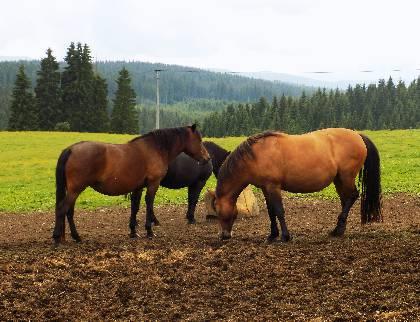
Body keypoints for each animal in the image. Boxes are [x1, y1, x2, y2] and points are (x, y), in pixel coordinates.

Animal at [53, 124, 210, 243]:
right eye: (199, 140)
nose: (207, 158)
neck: (155, 148)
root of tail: (71, 149)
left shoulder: (138, 187)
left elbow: (135, 207)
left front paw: (133, 231)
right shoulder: (153, 184)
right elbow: (149, 204)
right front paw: (149, 231)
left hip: (73, 190)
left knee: (69, 211)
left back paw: (75, 237)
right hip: (75, 190)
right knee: (62, 209)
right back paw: (57, 237)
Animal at [212, 128, 382, 242]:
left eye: (219, 213)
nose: (224, 236)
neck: (255, 156)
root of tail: (358, 135)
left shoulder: (273, 187)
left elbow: (279, 211)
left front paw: (285, 236)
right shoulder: (266, 188)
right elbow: (271, 212)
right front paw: (272, 235)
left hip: (346, 177)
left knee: (352, 196)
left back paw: (338, 229)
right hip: (339, 180)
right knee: (345, 200)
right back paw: (339, 230)